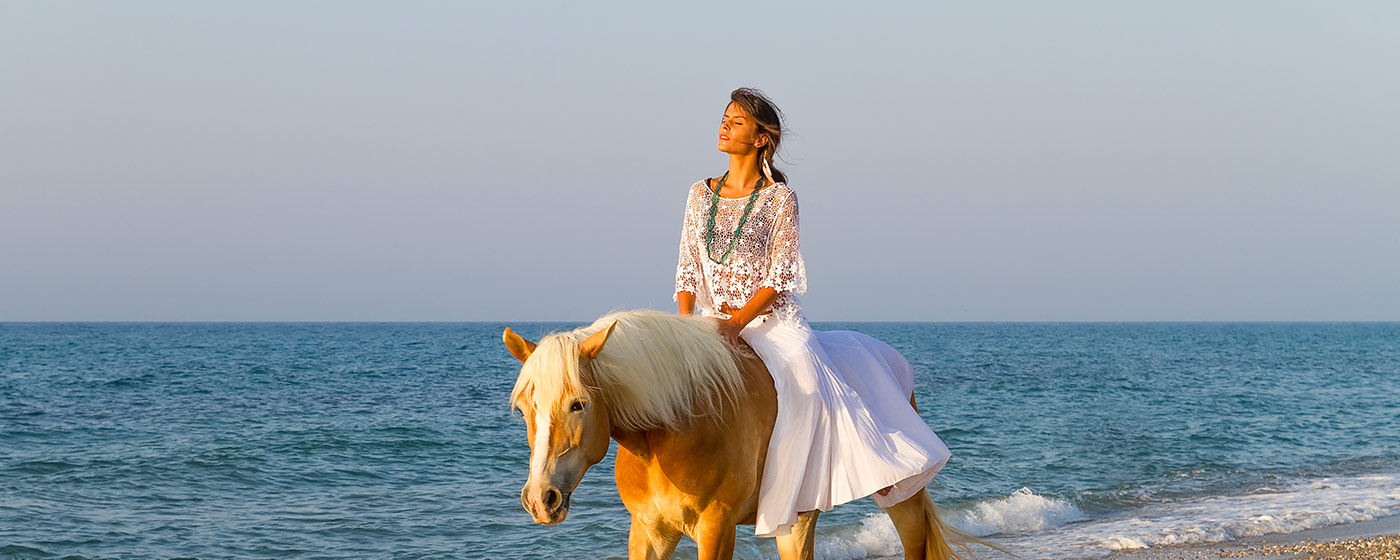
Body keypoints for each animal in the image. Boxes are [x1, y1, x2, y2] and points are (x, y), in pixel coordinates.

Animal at [504, 310, 974, 560]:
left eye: (578, 403)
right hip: (795, 520)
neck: (671, 431)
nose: (541, 498)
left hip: (902, 496)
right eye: (525, 408)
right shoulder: (650, 529)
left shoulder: (717, 527)